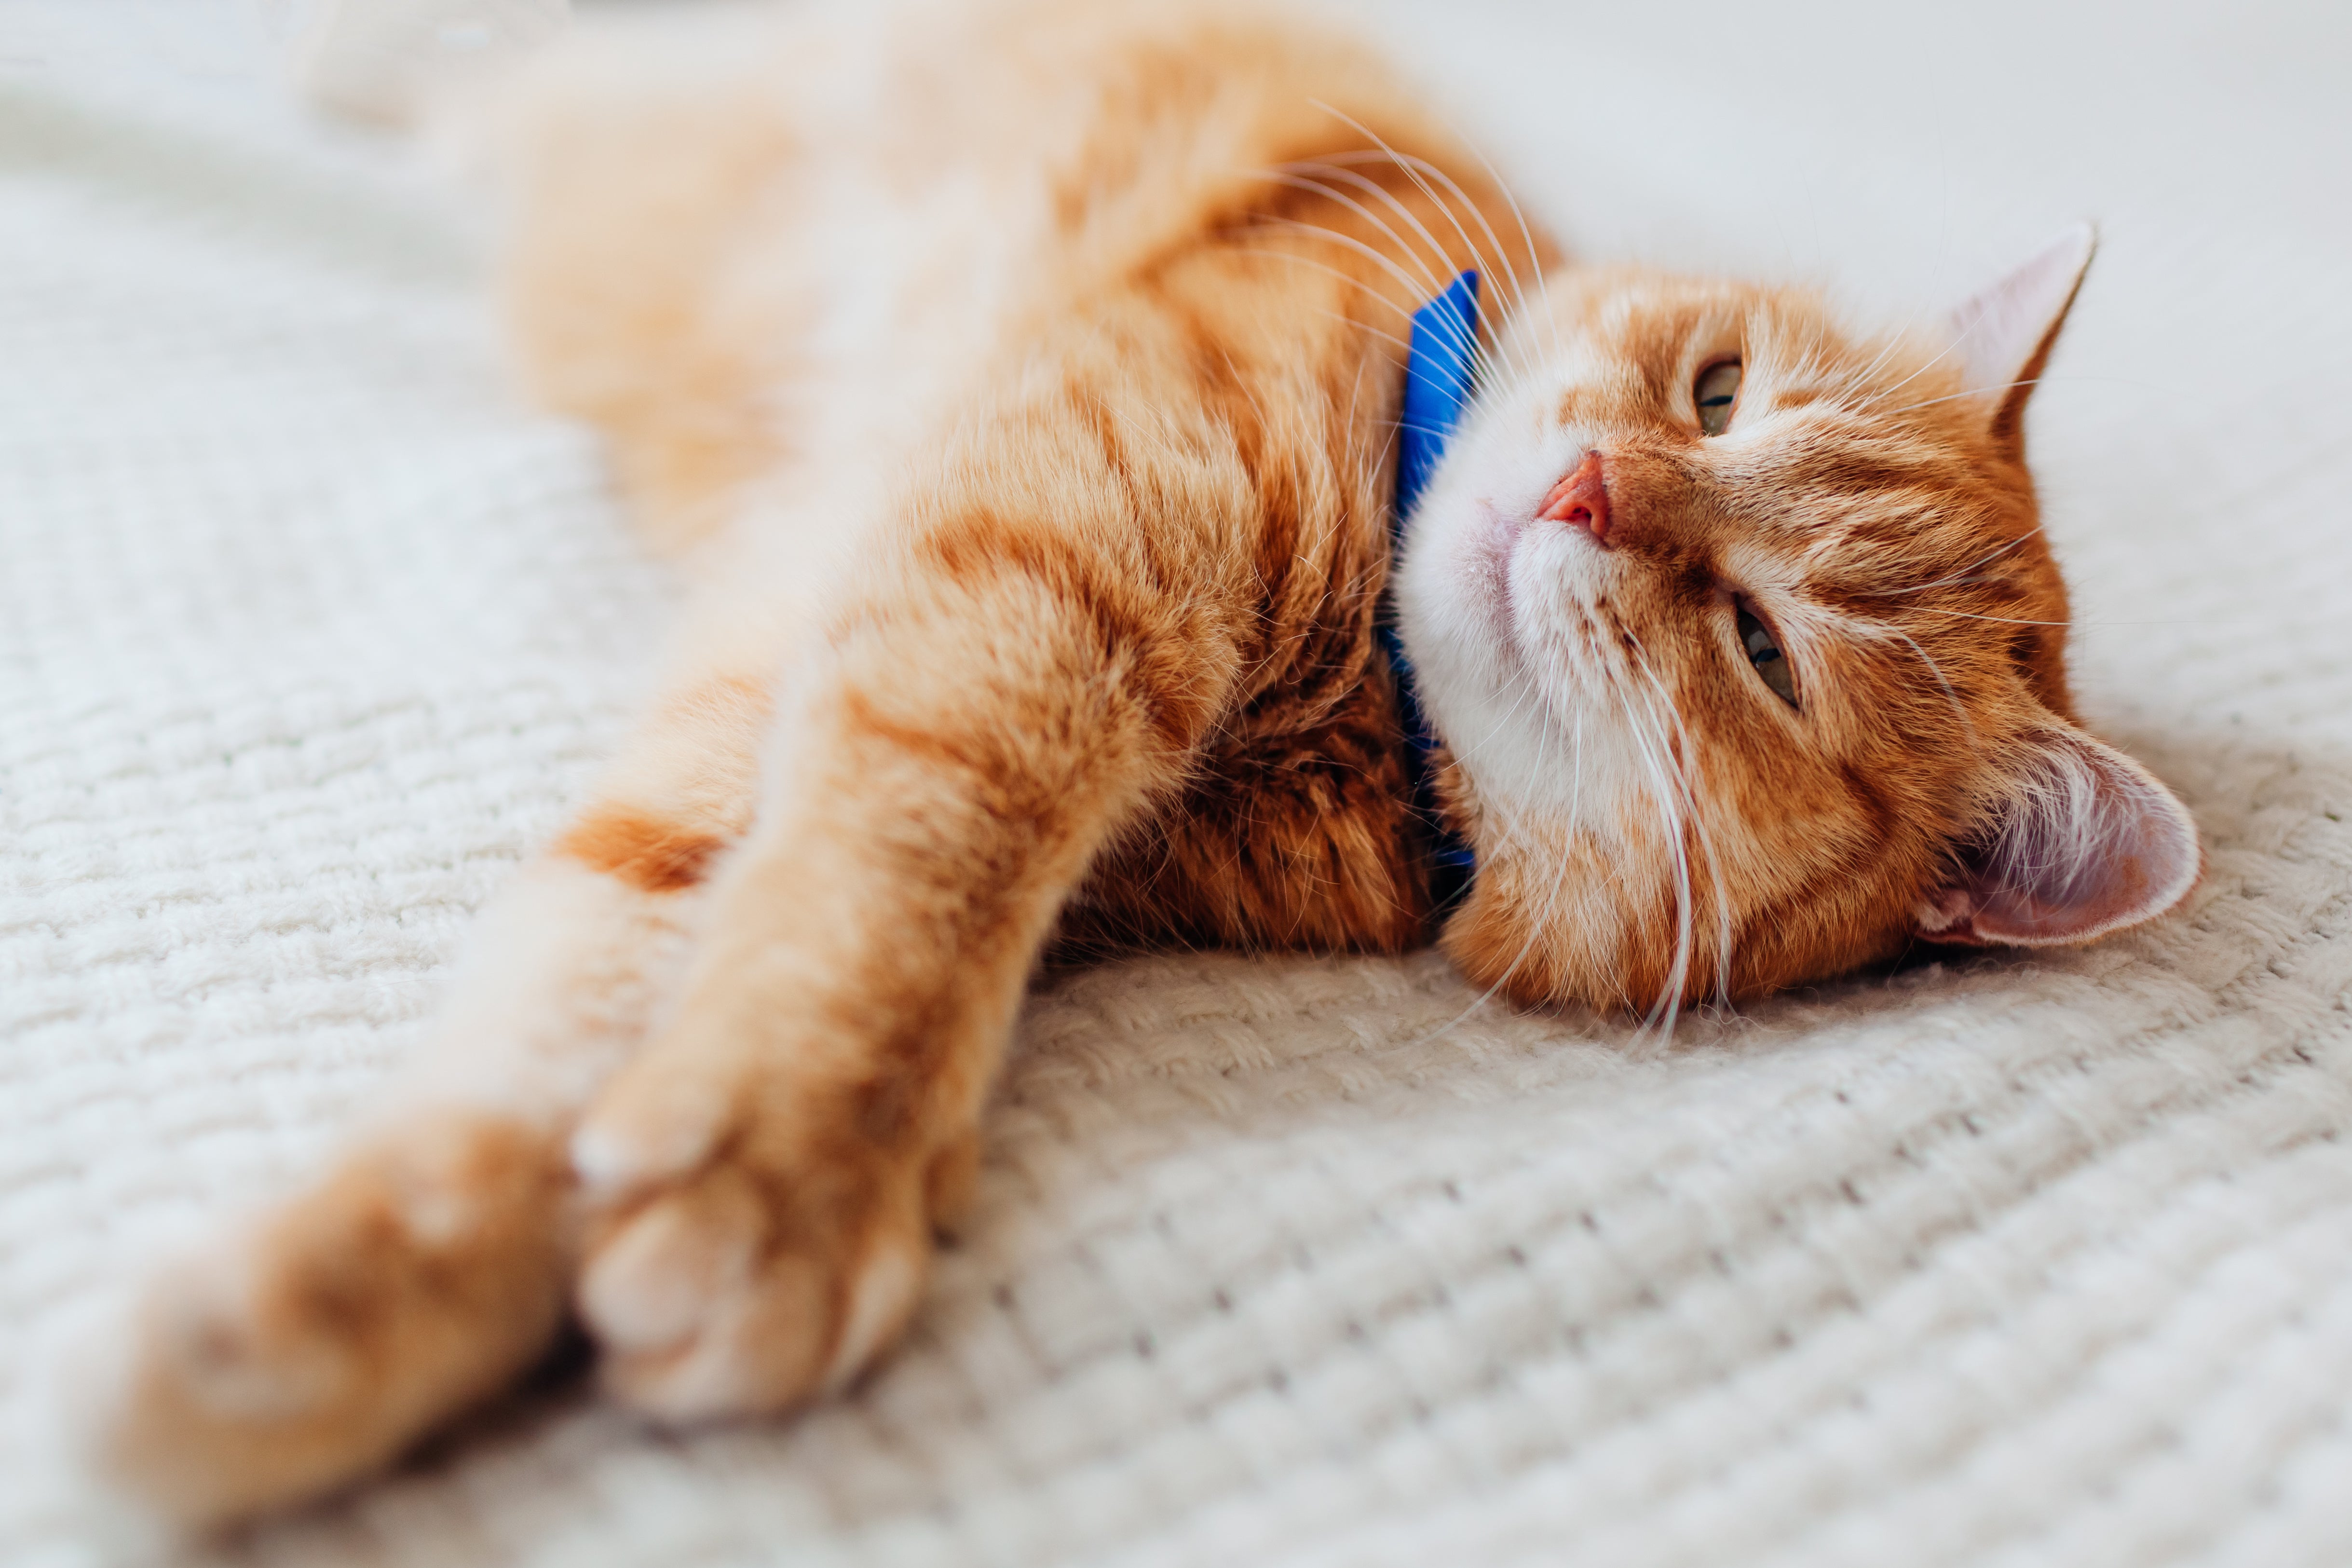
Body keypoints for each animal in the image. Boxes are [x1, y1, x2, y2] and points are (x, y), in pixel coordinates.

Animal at [82, 0, 2192, 1523]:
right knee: (521, 60)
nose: (1592, 488)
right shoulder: (1020, 570)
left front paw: (345, 1308)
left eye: (1761, 648)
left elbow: (623, 985)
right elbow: (892, 882)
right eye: (1717, 390)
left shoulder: (826, 676)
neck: (1359, 695)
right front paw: (789, 1159)